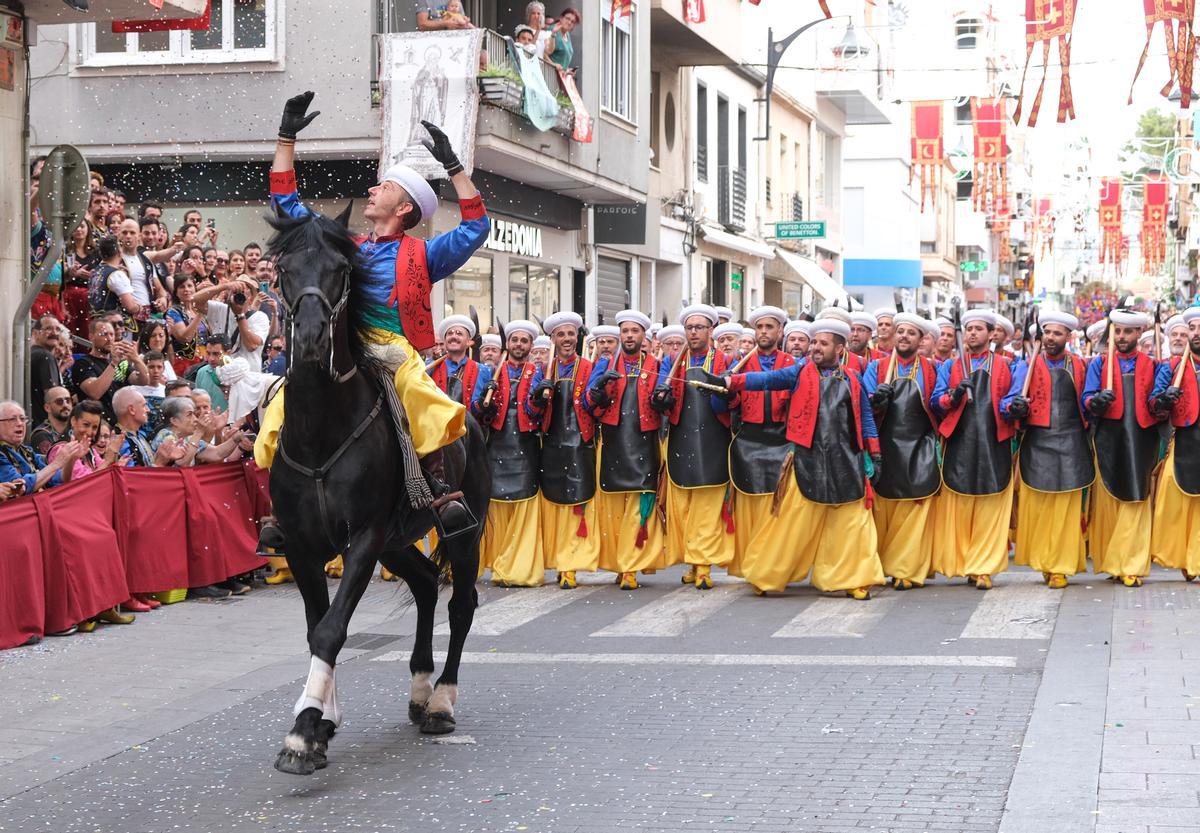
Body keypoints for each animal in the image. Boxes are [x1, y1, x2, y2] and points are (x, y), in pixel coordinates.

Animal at [270, 202, 489, 777]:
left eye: (341, 271)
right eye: (284, 269)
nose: (309, 339)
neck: (321, 430)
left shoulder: (363, 539)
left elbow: (332, 628)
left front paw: (304, 731)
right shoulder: (302, 546)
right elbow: (318, 626)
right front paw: (321, 723)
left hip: (463, 534)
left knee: (461, 604)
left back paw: (441, 702)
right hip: (398, 541)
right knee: (425, 586)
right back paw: (419, 688)